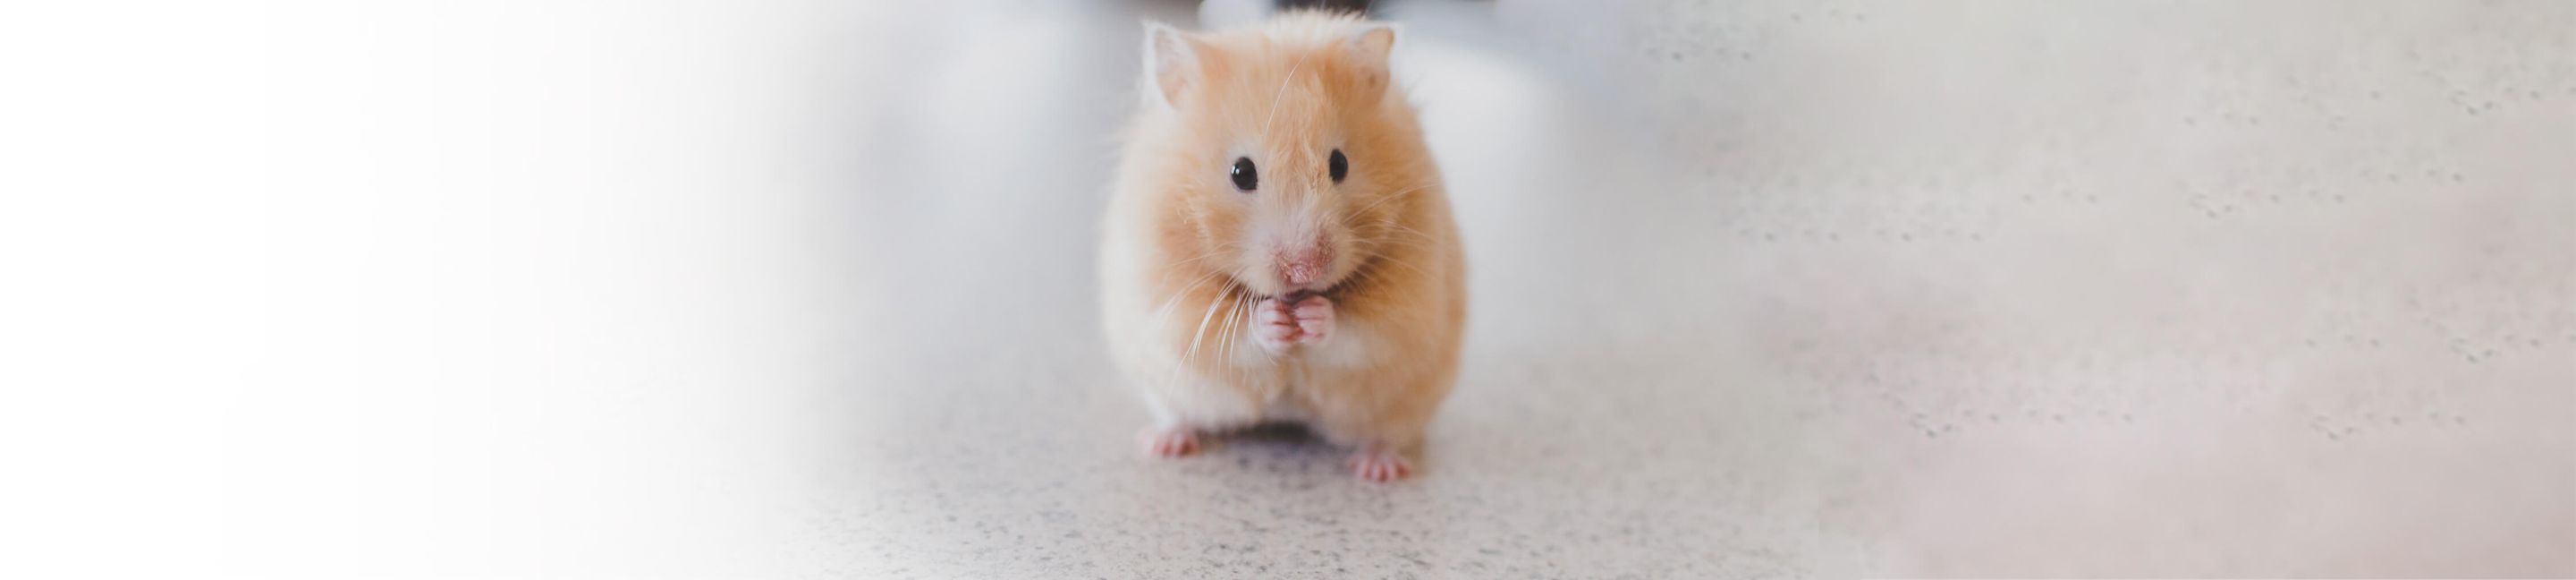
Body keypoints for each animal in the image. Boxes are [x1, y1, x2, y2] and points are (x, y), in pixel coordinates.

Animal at [1097, 13, 1473, 482]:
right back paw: (1163, 443)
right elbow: (1228, 334)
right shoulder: (1169, 300)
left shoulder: (1409, 304)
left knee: (1384, 433)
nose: (1305, 271)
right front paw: (1275, 321)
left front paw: (1313, 316)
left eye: (1339, 164)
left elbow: (1360, 332)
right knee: (1179, 414)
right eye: (1241, 172)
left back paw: (1379, 469)